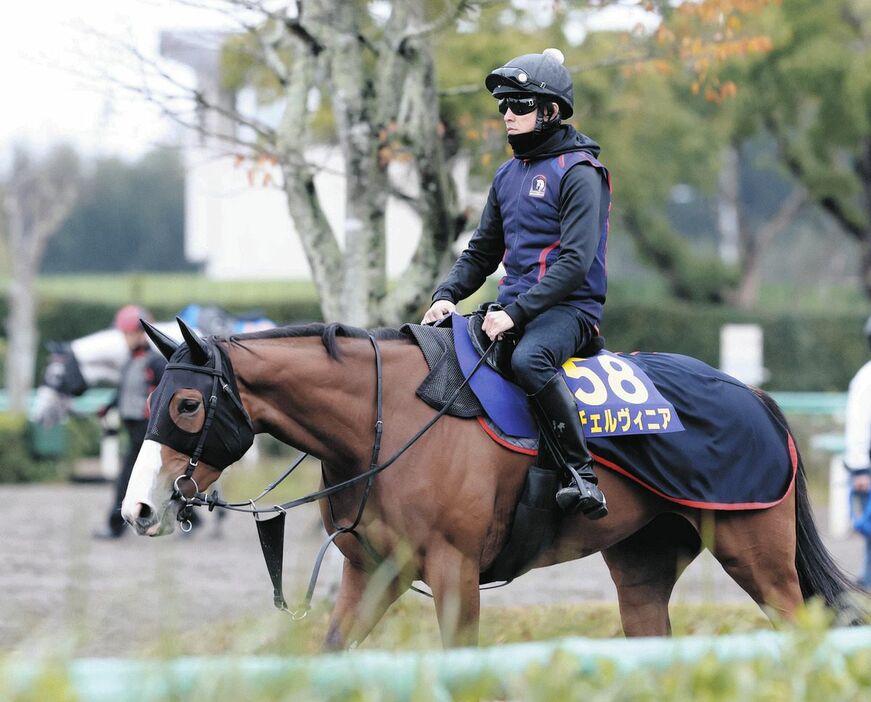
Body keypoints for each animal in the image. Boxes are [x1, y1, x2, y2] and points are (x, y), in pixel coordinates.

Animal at [122, 322, 864, 652]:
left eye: (186, 404)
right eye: (154, 396)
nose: (138, 507)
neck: (387, 421)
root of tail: (754, 396)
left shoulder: (455, 573)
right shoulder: (373, 572)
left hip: (755, 554)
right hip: (643, 565)